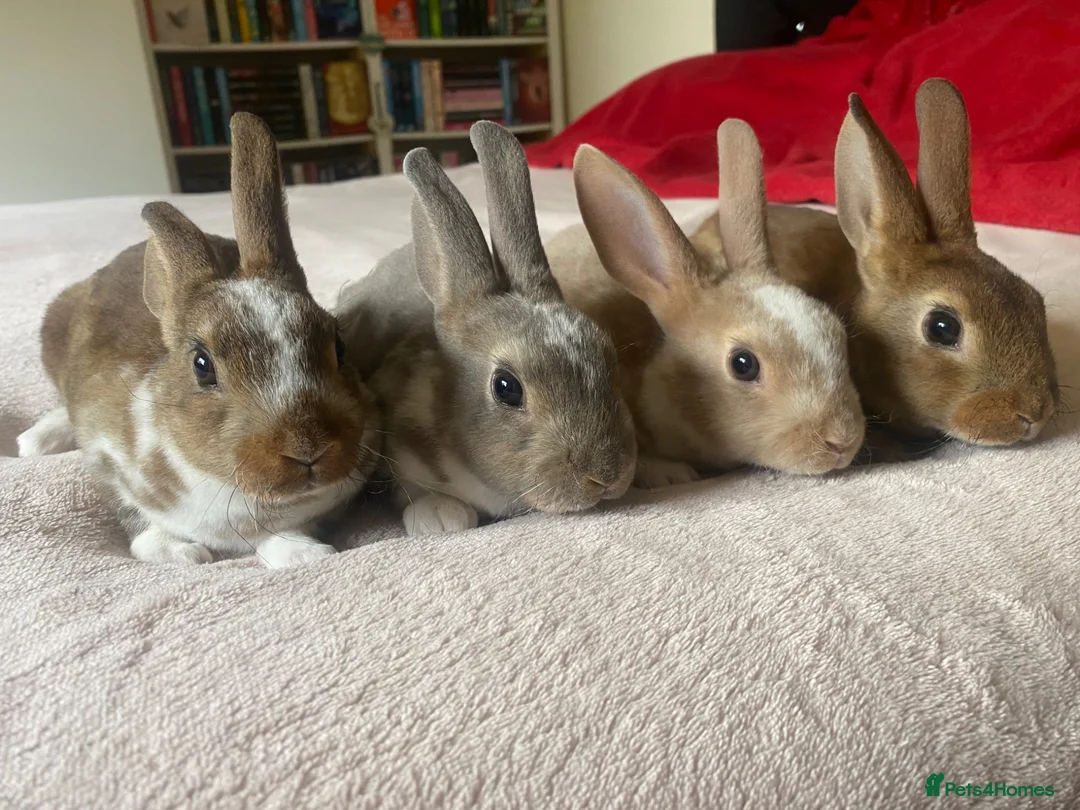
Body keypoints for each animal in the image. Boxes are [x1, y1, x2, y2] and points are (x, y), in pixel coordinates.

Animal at [16, 113, 380, 567]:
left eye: (338, 345)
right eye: (202, 366)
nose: (306, 448)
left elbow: (283, 535)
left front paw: (304, 554)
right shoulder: (104, 461)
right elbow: (136, 523)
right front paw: (183, 553)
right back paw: (34, 443)